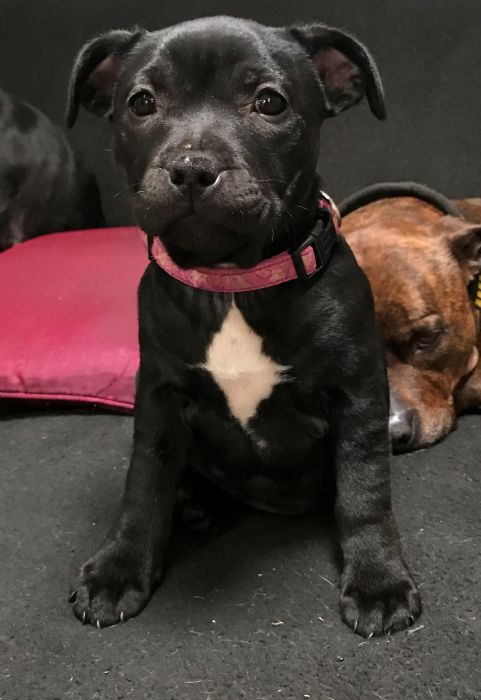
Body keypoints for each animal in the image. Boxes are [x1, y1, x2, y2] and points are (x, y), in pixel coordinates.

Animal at [66, 16, 421, 637]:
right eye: (141, 102)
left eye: (270, 102)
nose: (191, 168)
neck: (232, 279)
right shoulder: (159, 396)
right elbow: (144, 484)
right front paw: (118, 568)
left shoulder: (356, 394)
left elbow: (364, 487)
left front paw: (377, 580)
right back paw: (196, 503)